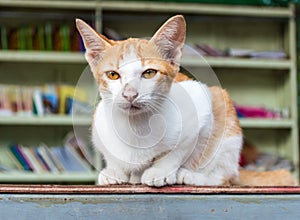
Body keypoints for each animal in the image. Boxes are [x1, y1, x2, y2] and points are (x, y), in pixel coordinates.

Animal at [76, 14, 296, 186]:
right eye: (113, 75)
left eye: (149, 73)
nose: (130, 94)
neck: (136, 127)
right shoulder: (98, 128)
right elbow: (111, 155)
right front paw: (114, 171)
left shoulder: (201, 102)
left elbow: (178, 150)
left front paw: (160, 171)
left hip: (226, 124)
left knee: (224, 177)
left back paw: (188, 176)